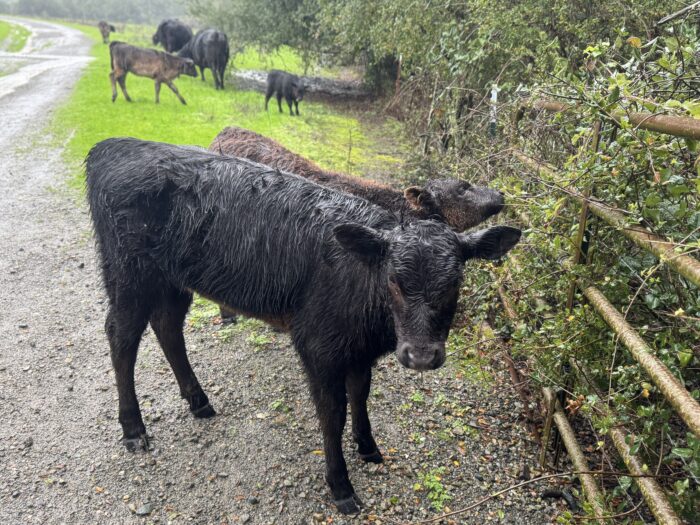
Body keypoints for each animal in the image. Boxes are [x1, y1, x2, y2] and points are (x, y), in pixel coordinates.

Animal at [86, 138, 521, 515]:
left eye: (456, 281)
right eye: (394, 280)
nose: (422, 356)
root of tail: (113, 145)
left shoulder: (358, 348)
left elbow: (360, 394)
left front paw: (368, 447)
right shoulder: (318, 344)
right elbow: (333, 413)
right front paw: (341, 486)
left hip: (172, 278)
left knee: (168, 326)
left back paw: (199, 401)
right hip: (129, 273)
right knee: (122, 337)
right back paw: (133, 429)